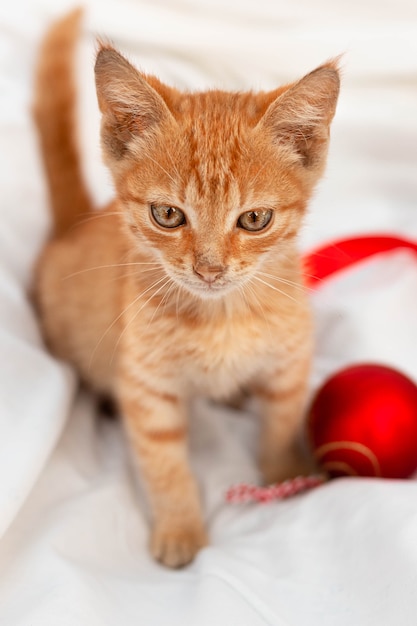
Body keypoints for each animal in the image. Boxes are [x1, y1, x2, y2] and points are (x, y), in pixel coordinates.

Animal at [32, 8, 338, 564]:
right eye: (168, 215)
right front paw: (180, 530)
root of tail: (70, 230)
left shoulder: (290, 357)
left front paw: (287, 474)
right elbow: (164, 463)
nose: (210, 270)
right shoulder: (146, 384)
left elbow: (282, 419)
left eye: (255, 219)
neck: (221, 317)